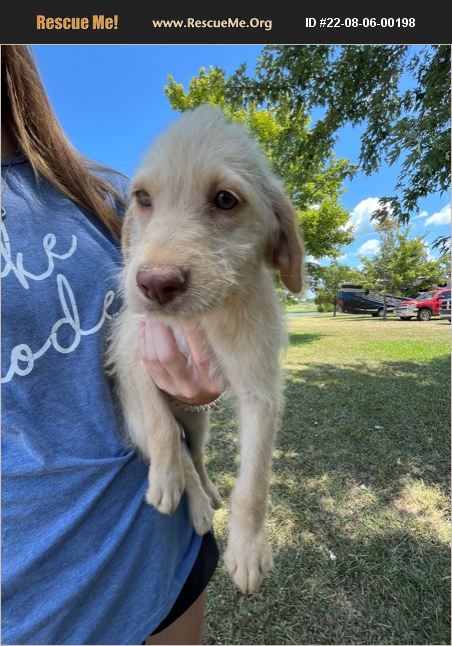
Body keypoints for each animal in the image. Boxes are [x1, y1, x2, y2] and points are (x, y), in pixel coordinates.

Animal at [107, 106, 304, 596]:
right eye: (142, 198)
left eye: (226, 200)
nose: (155, 284)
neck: (201, 320)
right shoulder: (136, 354)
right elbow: (162, 428)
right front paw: (164, 480)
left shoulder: (260, 392)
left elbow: (254, 483)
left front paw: (248, 550)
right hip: (138, 422)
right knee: (177, 450)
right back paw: (188, 499)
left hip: (201, 421)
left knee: (194, 455)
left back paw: (207, 493)